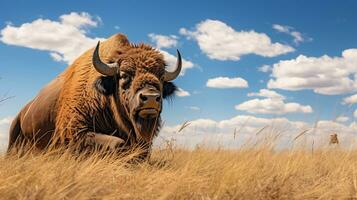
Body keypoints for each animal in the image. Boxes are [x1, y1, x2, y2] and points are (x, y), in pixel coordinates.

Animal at [6, 33, 181, 159]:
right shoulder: (75, 132)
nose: (151, 98)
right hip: (13, 138)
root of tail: (24, 110)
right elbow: (118, 143)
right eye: (124, 75)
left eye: (161, 77)